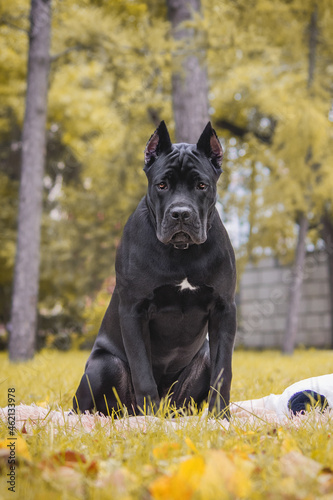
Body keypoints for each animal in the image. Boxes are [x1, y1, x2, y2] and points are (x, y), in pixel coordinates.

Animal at [73, 121, 236, 418]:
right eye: (162, 184)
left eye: (201, 185)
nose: (180, 213)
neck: (181, 251)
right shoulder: (134, 310)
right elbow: (142, 371)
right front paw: (148, 420)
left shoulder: (224, 309)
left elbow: (223, 371)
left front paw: (221, 417)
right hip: (105, 364)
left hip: (198, 365)